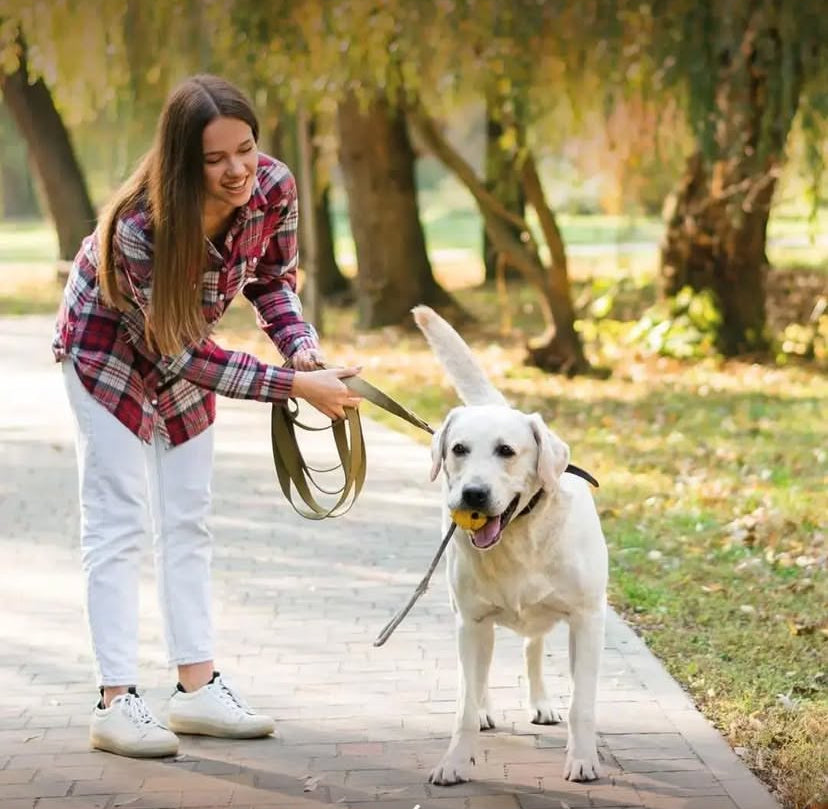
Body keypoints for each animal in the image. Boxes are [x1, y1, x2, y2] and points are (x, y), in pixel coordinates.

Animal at [412, 304, 608, 784]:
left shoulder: (588, 619)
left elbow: (583, 705)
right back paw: (484, 709)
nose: (473, 495)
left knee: (533, 646)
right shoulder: (471, 621)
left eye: (506, 450)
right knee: (477, 678)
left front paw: (582, 759)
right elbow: (463, 705)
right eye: (458, 449)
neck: (520, 536)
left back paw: (541, 702)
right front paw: (455, 760)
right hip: (466, 617)